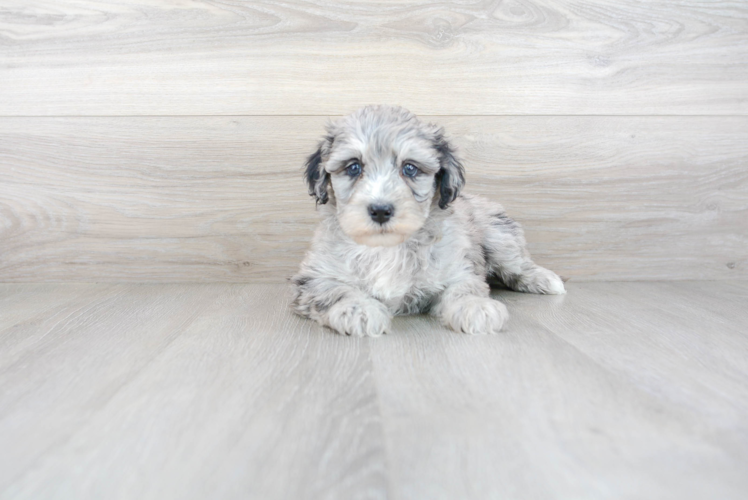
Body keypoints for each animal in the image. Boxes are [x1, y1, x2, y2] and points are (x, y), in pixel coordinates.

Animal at [292, 105, 568, 336]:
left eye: (410, 168)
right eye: (353, 167)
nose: (380, 210)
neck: (388, 247)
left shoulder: (458, 268)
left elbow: (464, 288)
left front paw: (476, 307)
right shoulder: (315, 277)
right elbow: (336, 291)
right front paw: (359, 310)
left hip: (498, 235)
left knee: (517, 265)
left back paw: (547, 280)